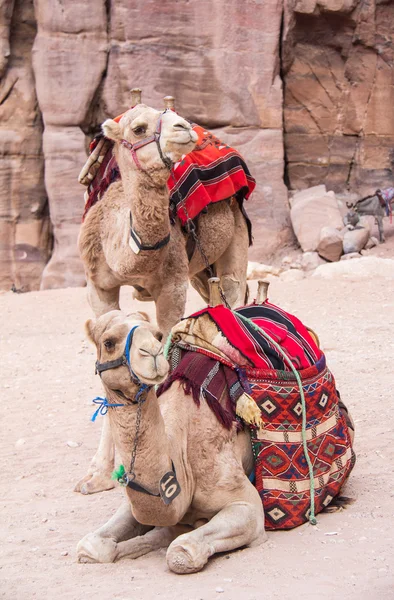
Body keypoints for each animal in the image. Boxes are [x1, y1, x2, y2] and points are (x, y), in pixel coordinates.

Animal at [75, 96, 251, 494]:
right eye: (138, 127)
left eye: (168, 115)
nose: (185, 128)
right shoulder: (98, 286)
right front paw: (96, 474)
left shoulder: (172, 285)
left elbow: (168, 352)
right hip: (201, 270)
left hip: (234, 238)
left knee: (233, 296)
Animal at [76, 310, 264, 572]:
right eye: (109, 342)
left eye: (157, 335)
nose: (152, 353)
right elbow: (91, 547)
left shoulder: (248, 505)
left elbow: (181, 551)